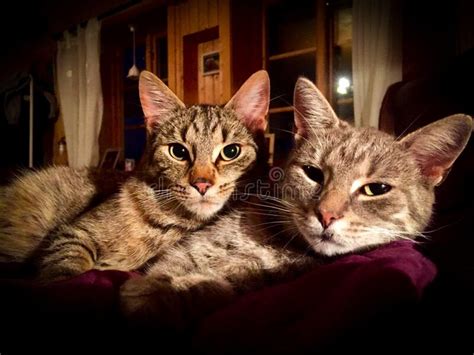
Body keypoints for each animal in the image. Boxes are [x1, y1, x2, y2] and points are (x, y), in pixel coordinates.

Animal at [120, 76, 472, 330]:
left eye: (376, 189)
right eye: (313, 173)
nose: (326, 215)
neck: (278, 240)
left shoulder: (253, 278)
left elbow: (209, 285)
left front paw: (156, 294)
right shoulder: (194, 247)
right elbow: (170, 266)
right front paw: (149, 287)